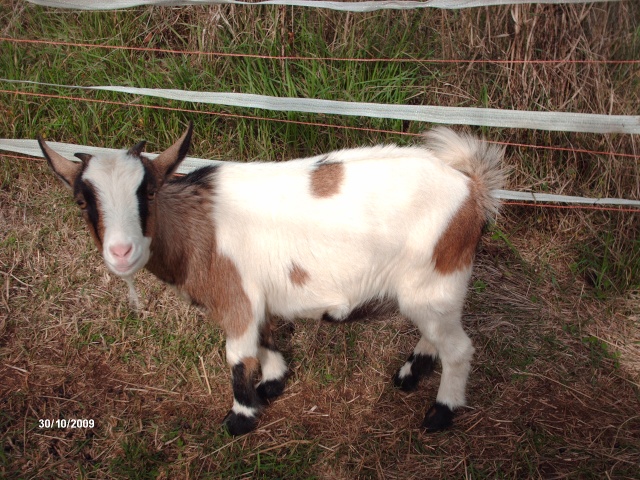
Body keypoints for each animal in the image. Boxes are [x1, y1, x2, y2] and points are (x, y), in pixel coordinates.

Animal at [38, 124, 504, 436]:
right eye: (82, 201)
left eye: (148, 192)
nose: (121, 252)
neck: (198, 227)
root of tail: (472, 188)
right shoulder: (253, 298)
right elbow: (261, 341)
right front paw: (273, 382)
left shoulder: (236, 297)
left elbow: (237, 356)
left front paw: (240, 418)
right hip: (431, 288)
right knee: (436, 334)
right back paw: (409, 374)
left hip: (436, 278)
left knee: (459, 348)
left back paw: (441, 413)